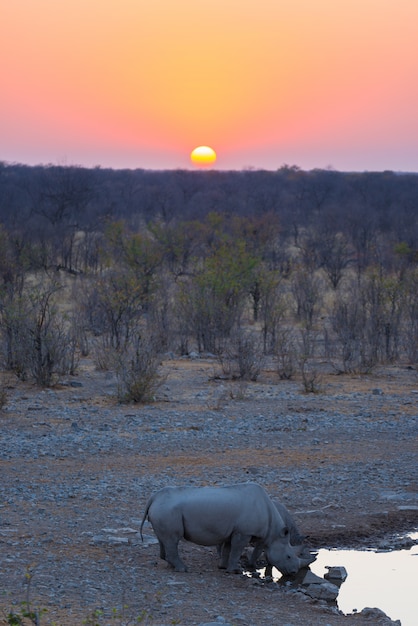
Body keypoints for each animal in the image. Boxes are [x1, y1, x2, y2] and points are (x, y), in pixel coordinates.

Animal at [142, 480, 308, 572]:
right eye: (288, 556)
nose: (294, 572)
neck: (274, 530)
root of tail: (153, 497)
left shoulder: (235, 531)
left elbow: (229, 549)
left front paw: (223, 567)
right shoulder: (244, 532)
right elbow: (237, 550)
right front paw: (235, 570)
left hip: (165, 510)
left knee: (164, 539)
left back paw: (171, 566)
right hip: (168, 510)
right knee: (173, 539)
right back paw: (183, 569)